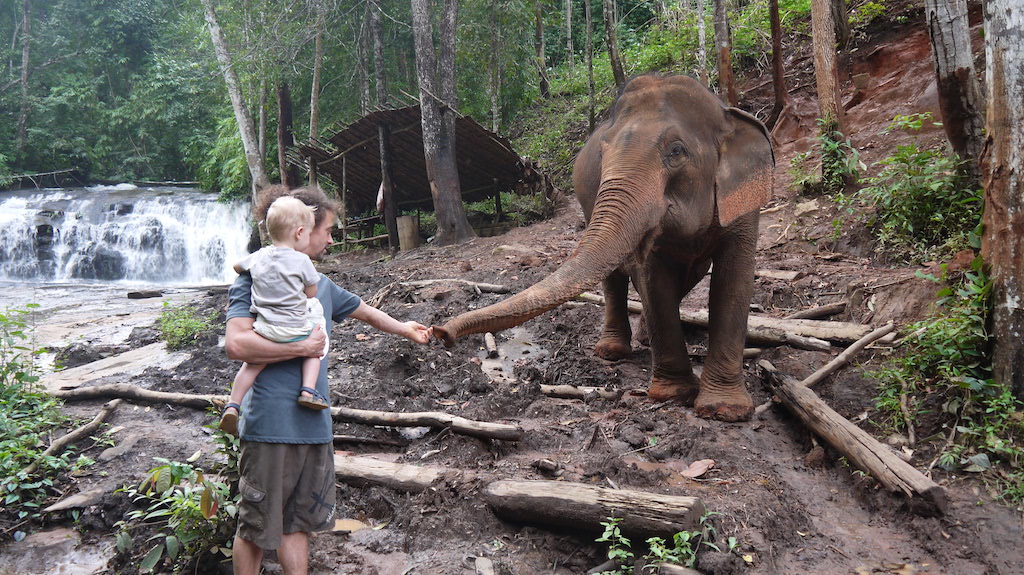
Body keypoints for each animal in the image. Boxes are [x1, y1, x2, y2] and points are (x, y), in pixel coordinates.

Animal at [434, 72, 774, 421]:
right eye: (603, 153)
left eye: (677, 151)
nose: (440, 333)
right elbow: (653, 279)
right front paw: (675, 394)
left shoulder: (744, 202)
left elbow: (733, 281)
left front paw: (724, 410)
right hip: (588, 203)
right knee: (615, 279)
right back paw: (612, 351)